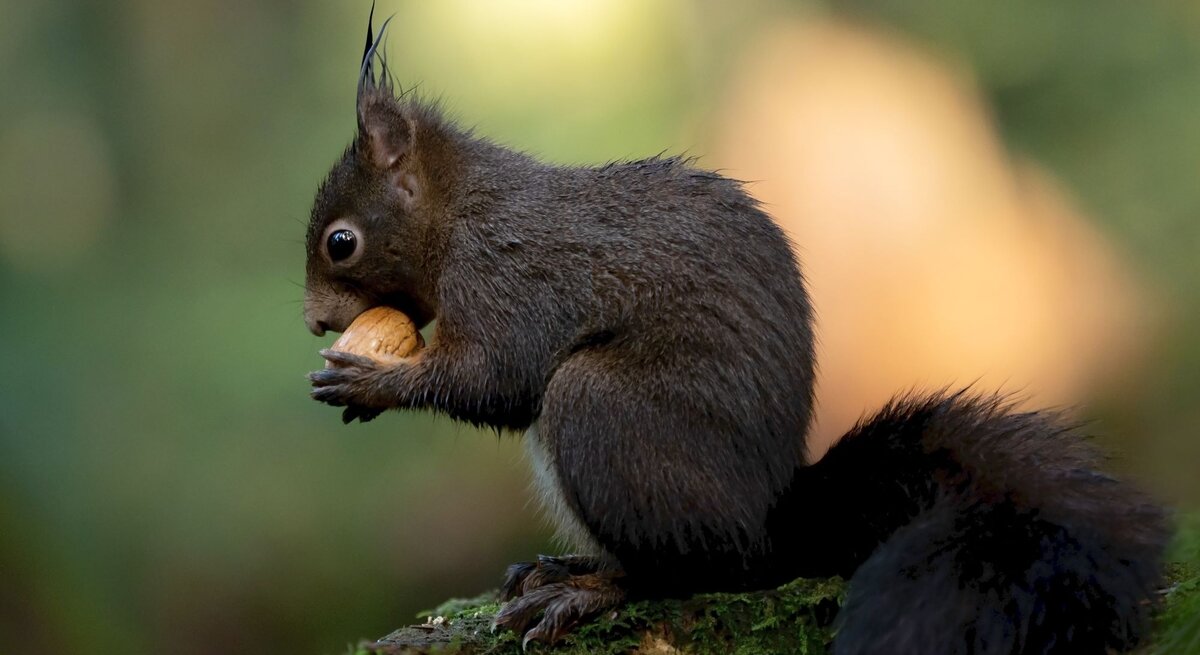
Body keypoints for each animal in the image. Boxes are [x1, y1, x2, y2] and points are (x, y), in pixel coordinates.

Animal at [305, 10, 1169, 654]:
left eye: (340, 241)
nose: (315, 319)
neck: (459, 211)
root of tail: (771, 525)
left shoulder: (508, 277)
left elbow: (496, 379)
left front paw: (370, 380)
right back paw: (569, 562)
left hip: (605, 411)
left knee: (695, 568)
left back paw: (590, 588)